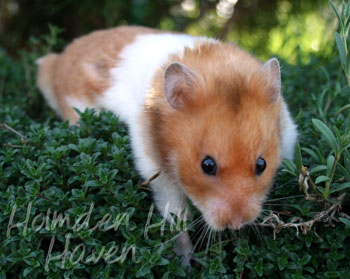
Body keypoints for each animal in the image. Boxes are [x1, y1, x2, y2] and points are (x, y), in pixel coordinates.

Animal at [36, 25, 298, 264]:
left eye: (262, 164)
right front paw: (185, 262)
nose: (236, 224)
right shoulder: (158, 175)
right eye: (207, 166)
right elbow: (176, 218)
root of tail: (56, 61)